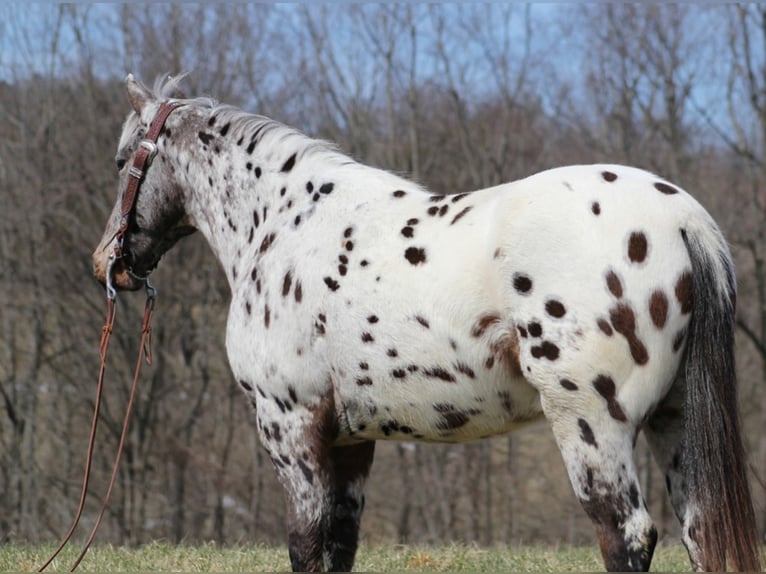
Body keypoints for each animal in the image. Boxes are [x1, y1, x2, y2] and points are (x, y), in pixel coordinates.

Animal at [91, 75, 760, 572]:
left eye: (123, 161)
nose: (108, 263)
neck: (285, 224)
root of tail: (683, 219)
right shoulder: (349, 440)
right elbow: (338, 546)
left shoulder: (291, 426)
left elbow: (305, 545)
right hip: (675, 420)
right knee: (698, 531)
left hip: (592, 424)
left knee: (626, 535)